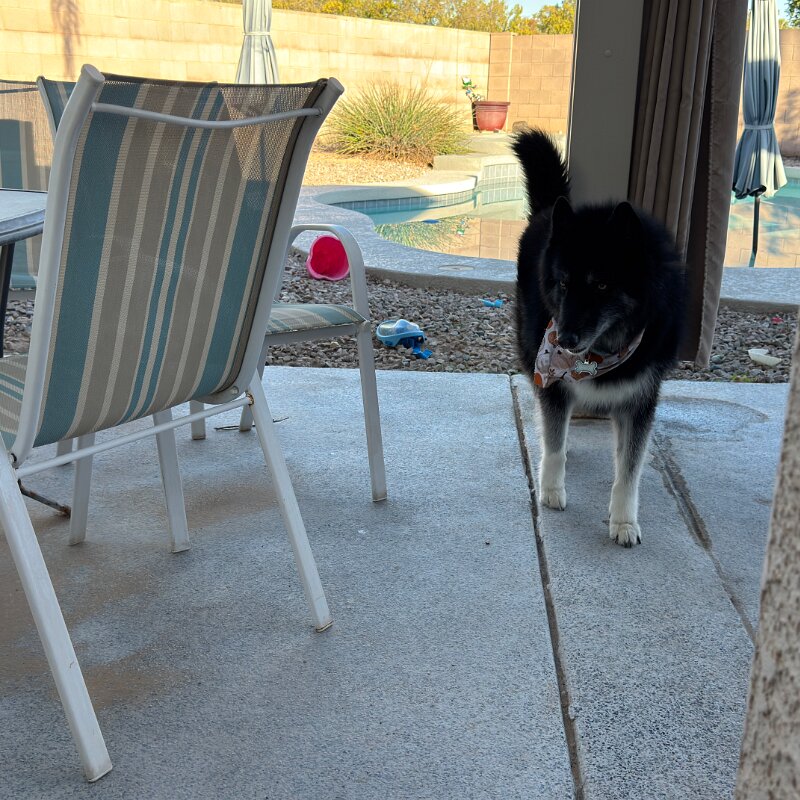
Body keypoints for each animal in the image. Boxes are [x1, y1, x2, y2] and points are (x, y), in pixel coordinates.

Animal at [512, 129, 687, 547]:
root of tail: (552, 212)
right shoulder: (553, 380)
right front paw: (551, 489)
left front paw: (623, 521)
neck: (603, 351)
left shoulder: (640, 400)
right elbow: (554, 443)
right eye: (563, 284)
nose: (563, 340)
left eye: (602, 285)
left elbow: (629, 470)